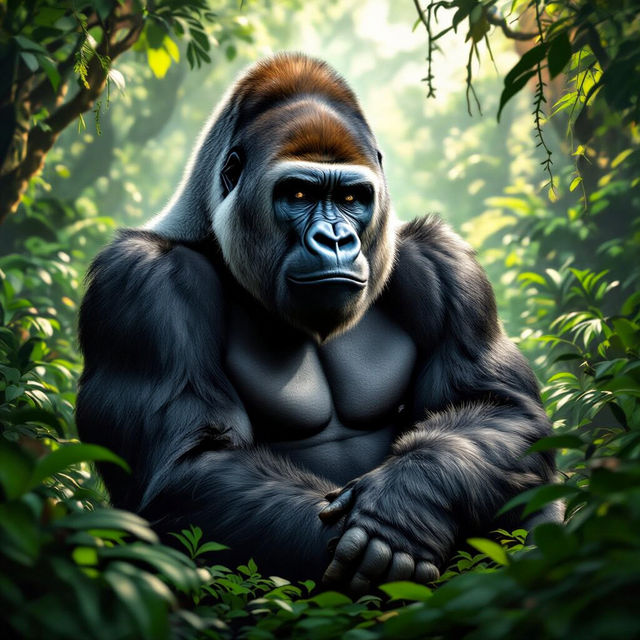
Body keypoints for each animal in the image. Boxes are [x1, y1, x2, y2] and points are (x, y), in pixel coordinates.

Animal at [77, 53, 559, 593]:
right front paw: (397, 520)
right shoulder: (140, 284)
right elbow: (188, 462)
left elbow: (498, 407)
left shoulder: (442, 262)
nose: (335, 239)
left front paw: (408, 501)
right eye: (299, 193)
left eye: (352, 199)